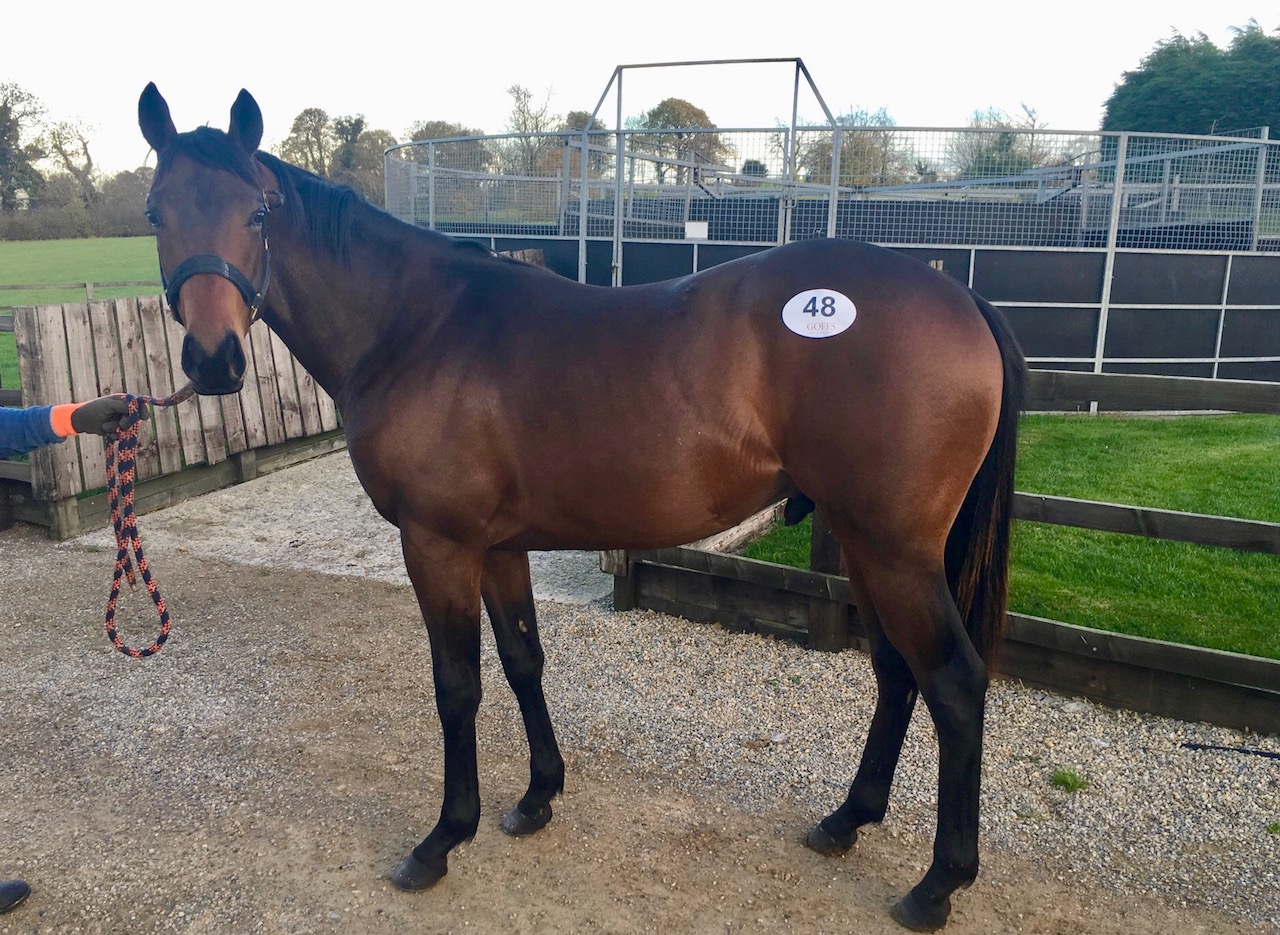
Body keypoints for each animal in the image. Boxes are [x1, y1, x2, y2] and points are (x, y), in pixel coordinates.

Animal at [138, 83, 1026, 932]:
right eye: (155, 212)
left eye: (258, 211)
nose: (213, 360)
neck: (416, 326)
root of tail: (960, 297)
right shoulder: (498, 546)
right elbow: (523, 659)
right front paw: (537, 796)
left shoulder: (437, 544)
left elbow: (457, 684)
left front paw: (441, 839)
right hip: (866, 542)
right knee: (897, 672)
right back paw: (847, 819)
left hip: (895, 550)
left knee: (953, 681)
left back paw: (937, 883)